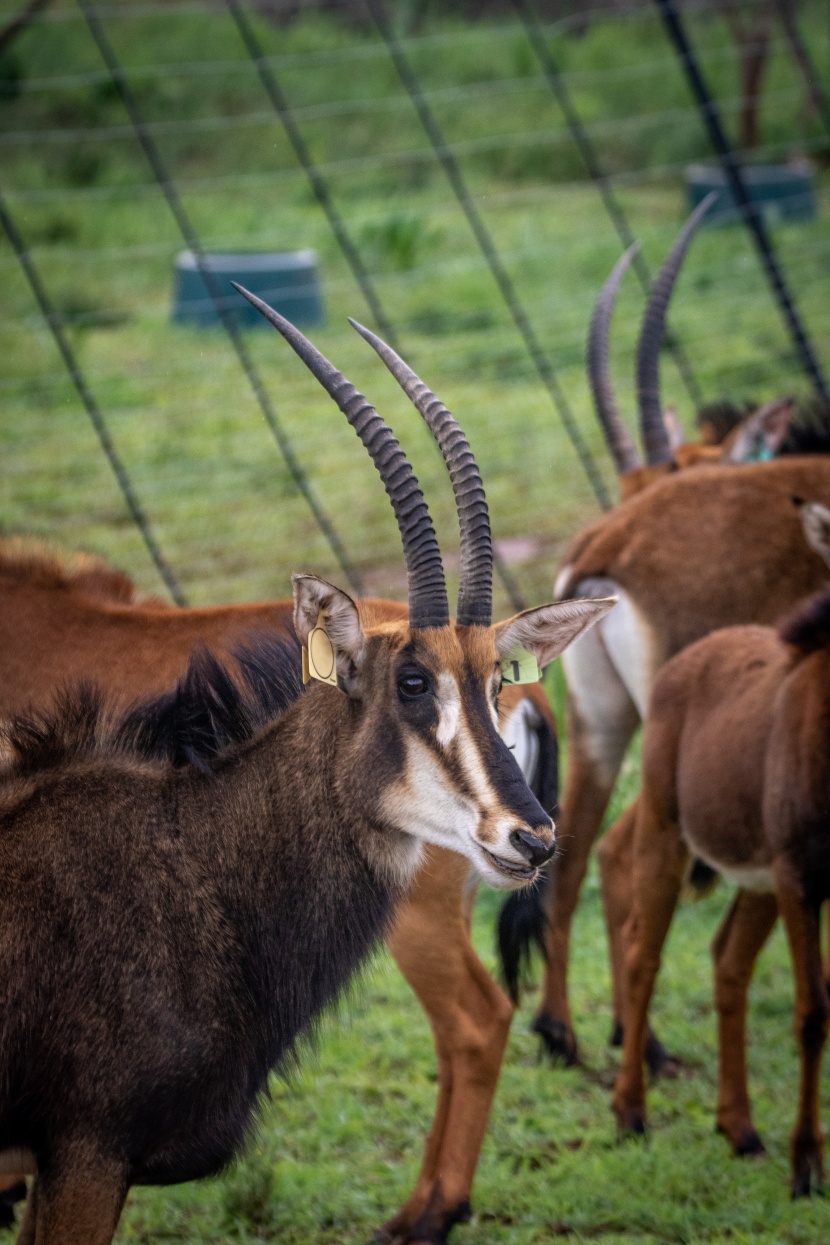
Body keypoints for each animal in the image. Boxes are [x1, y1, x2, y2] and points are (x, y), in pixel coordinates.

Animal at [0, 303, 609, 1245]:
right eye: (412, 681)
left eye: (493, 680)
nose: (532, 834)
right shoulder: (67, 1160)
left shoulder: (85, 1153)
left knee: (477, 1018)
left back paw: (426, 1213)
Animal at [609, 502, 830, 1195]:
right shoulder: (802, 881)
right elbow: (813, 1013)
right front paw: (807, 1165)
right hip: (668, 835)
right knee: (642, 953)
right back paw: (631, 1112)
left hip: (759, 879)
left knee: (728, 960)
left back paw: (740, 1128)